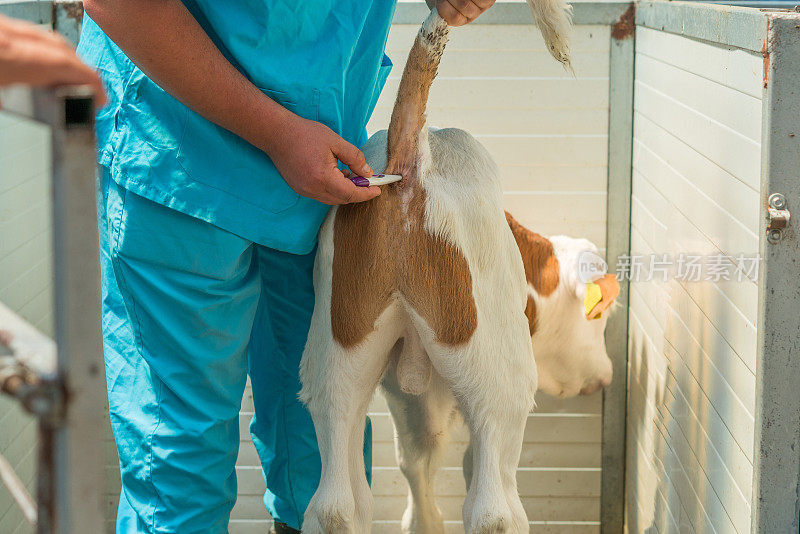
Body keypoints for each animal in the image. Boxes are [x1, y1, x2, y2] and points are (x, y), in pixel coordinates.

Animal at [300, 5, 612, 534]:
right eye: (601, 315)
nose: (607, 374)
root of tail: (412, 154)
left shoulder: (410, 395)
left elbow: (418, 465)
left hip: (336, 353)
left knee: (340, 501)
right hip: (498, 379)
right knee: (493, 509)